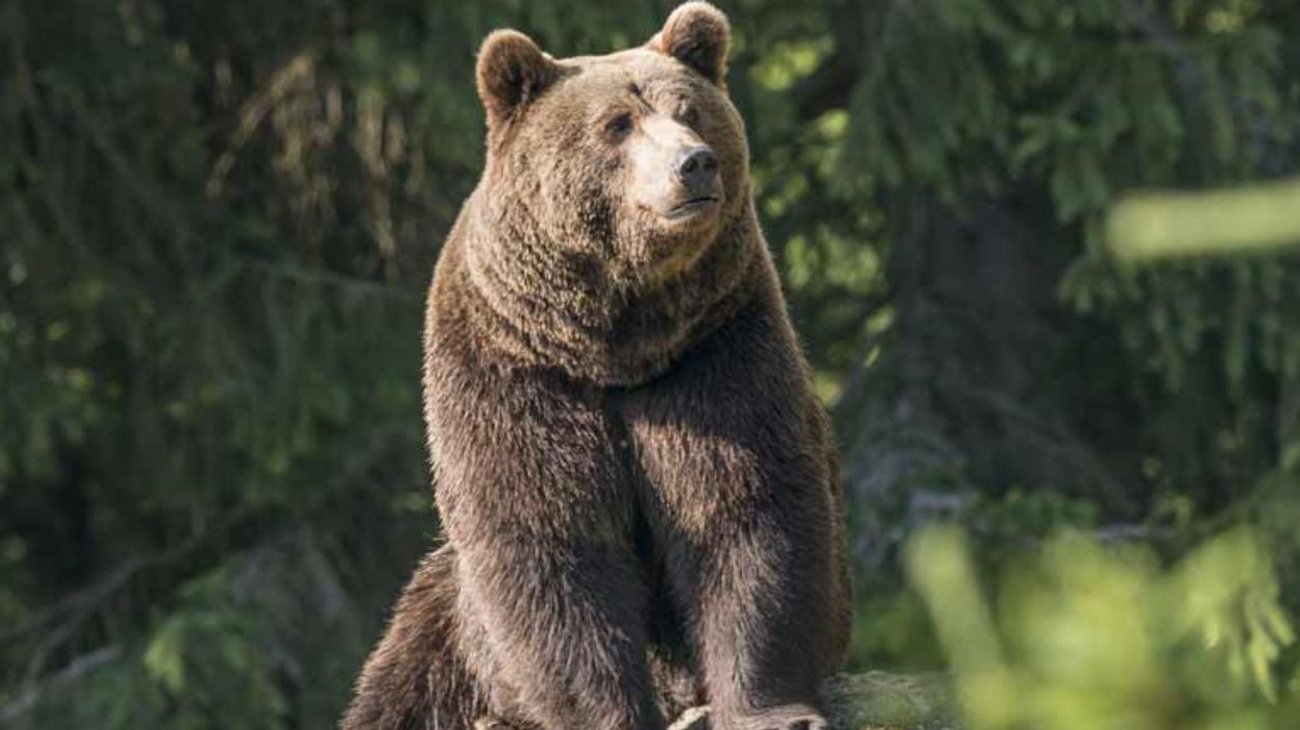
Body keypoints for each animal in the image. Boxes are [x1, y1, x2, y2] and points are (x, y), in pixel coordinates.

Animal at [342, 4, 852, 729]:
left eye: (691, 111)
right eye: (617, 124)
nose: (694, 164)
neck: (616, 345)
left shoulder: (714, 352)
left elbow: (744, 506)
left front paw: (772, 708)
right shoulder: (514, 371)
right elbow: (551, 539)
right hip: (446, 625)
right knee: (406, 679)